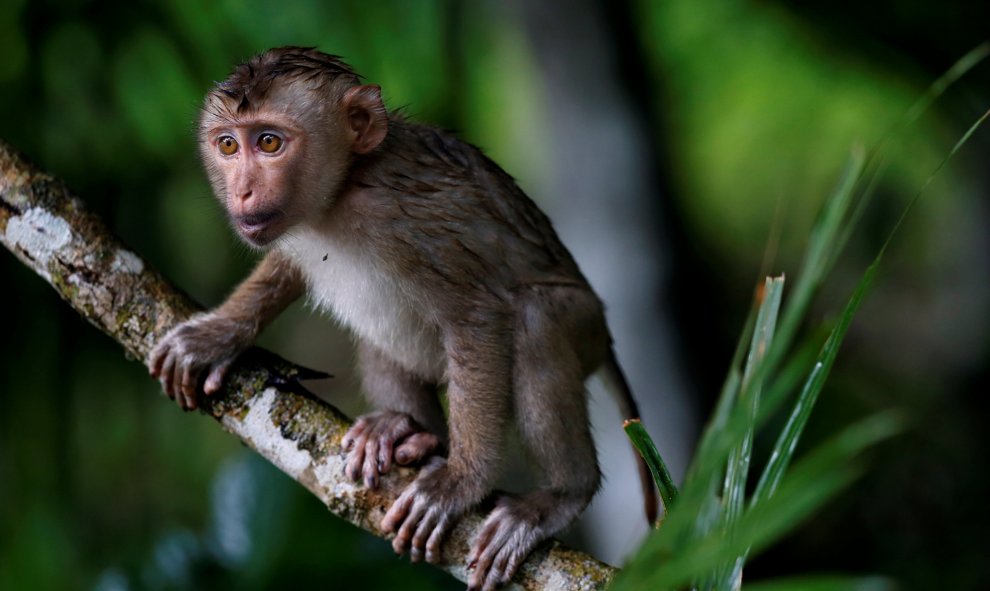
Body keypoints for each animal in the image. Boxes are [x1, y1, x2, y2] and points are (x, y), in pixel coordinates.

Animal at [149, 47, 660, 591]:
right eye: (227, 145)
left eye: (269, 142)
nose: (242, 192)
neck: (340, 194)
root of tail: (603, 330)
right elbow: (285, 268)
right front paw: (216, 336)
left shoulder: (409, 223)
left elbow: (478, 317)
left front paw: (461, 482)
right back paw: (408, 431)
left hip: (582, 323)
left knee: (535, 322)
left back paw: (561, 494)